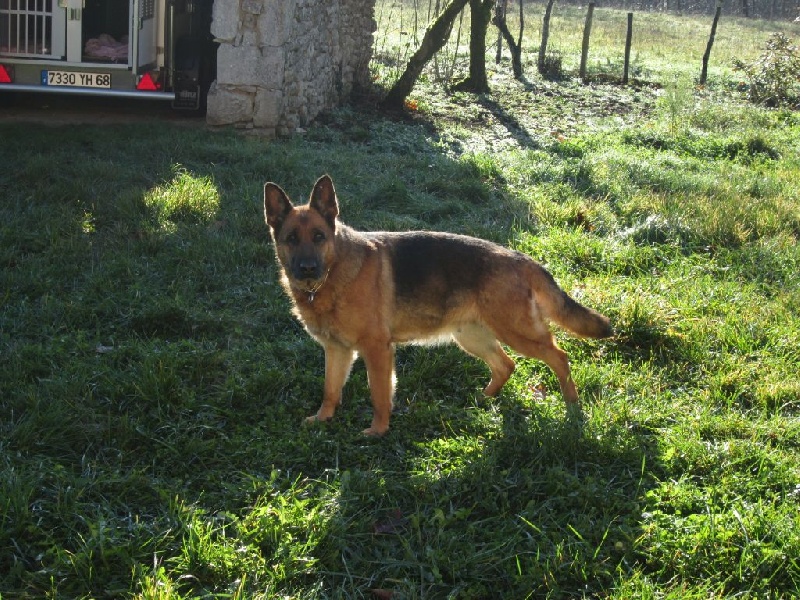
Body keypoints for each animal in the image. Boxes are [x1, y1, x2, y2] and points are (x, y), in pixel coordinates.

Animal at [264, 175, 612, 436]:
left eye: (319, 236)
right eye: (291, 239)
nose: (307, 269)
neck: (332, 276)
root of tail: (520, 258)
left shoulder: (376, 350)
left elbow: (379, 395)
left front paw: (378, 431)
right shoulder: (337, 350)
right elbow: (330, 390)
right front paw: (323, 419)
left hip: (518, 334)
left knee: (559, 357)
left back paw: (573, 408)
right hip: (471, 337)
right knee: (506, 365)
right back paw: (483, 399)